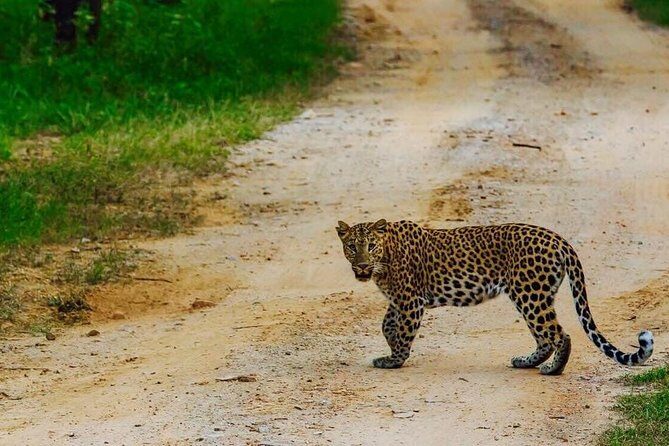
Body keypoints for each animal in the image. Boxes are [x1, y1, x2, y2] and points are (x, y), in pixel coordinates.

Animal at [336, 219, 654, 375]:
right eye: (351, 247)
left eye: (371, 246)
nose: (362, 265)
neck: (385, 257)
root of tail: (559, 239)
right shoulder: (398, 300)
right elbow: (387, 325)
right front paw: (391, 349)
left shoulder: (410, 300)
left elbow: (402, 331)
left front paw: (394, 360)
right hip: (534, 294)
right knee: (544, 336)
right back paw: (527, 361)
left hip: (529, 294)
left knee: (559, 334)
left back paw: (552, 370)